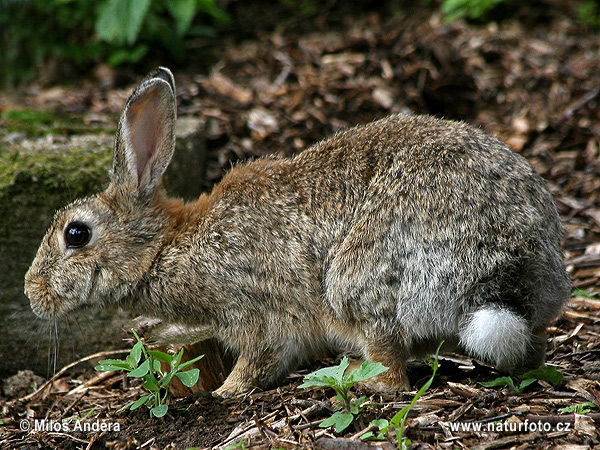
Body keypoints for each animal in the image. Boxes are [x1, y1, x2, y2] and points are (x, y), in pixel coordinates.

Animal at [24, 67, 572, 398]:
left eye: (76, 234)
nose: (32, 294)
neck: (165, 247)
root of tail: (509, 269)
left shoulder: (256, 314)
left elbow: (256, 363)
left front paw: (223, 393)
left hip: (358, 284)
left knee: (390, 372)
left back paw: (347, 379)